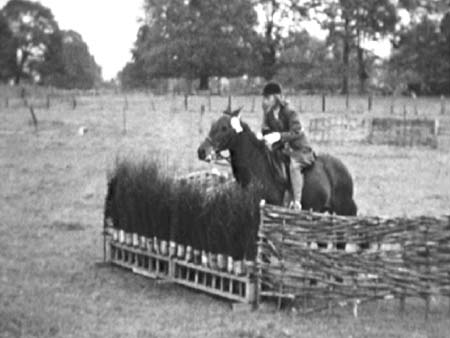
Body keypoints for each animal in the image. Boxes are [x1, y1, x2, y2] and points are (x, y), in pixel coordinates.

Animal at [197, 108, 358, 217]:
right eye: (213, 125)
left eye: (224, 128)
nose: (202, 151)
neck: (257, 167)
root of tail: (343, 168)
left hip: (343, 210)